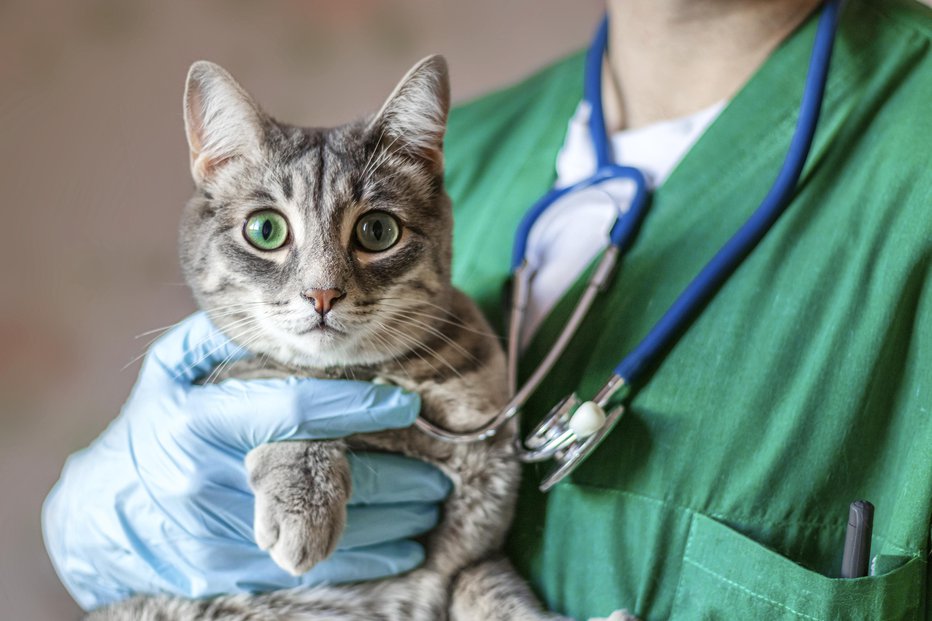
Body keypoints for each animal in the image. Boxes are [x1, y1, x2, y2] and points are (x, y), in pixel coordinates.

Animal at [93, 58, 632, 620]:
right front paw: (303, 497)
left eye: (377, 231)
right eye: (265, 230)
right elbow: (280, 387)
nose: (322, 294)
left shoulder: (466, 562)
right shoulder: (231, 379)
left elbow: (498, 599)